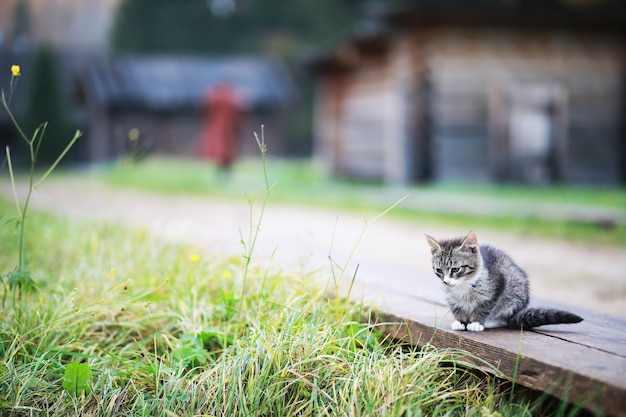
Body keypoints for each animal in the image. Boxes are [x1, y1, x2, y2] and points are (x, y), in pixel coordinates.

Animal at [424, 231, 580, 332]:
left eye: (455, 269)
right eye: (439, 270)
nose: (446, 282)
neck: (463, 285)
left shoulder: (499, 284)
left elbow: (485, 307)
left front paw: (476, 322)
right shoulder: (450, 295)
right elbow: (456, 307)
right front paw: (460, 321)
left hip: (516, 292)